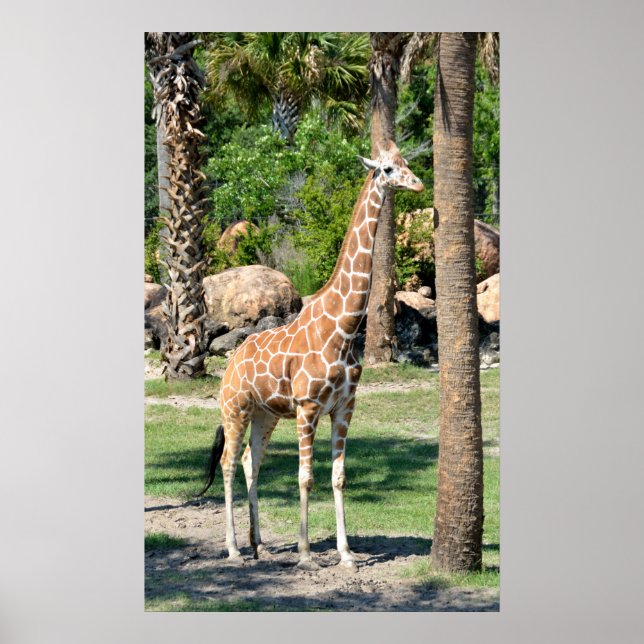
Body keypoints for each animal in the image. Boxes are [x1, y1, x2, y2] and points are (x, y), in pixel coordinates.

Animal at [198, 141, 424, 572]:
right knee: (229, 463)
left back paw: (259, 545)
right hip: (234, 409)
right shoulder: (307, 406)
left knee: (251, 461)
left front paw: (347, 553)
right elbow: (305, 478)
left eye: (406, 163)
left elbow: (338, 477)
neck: (345, 329)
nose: (418, 184)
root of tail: (231, 361)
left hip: (265, 414)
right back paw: (234, 549)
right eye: (388, 169)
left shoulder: (344, 407)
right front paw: (305, 555)